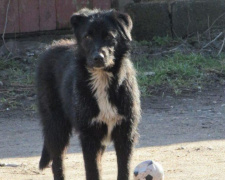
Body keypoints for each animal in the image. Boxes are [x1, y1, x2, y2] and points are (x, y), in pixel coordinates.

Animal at [36, 8, 140, 180]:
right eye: (87, 37)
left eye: (109, 36)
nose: (98, 58)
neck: (102, 79)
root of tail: (50, 47)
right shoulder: (89, 137)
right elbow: (93, 171)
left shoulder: (125, 134)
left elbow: (123, 171)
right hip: (56, 126)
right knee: (57, 164)